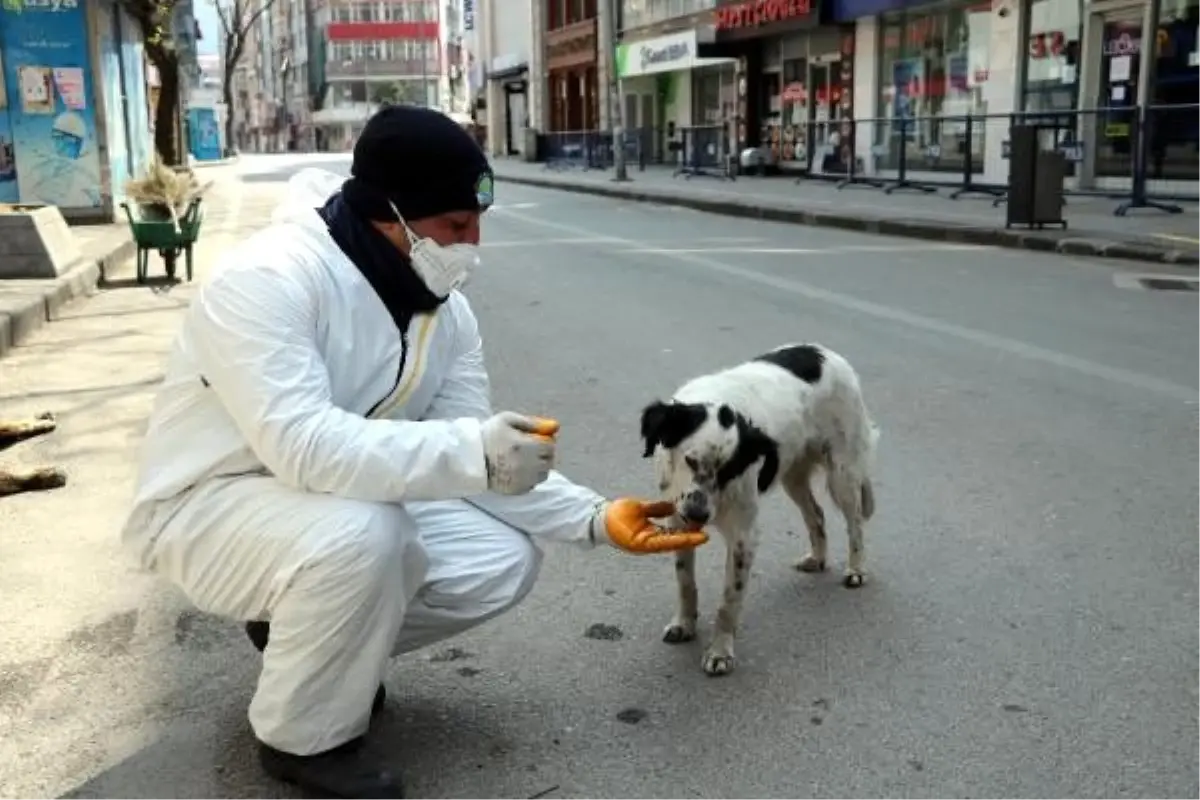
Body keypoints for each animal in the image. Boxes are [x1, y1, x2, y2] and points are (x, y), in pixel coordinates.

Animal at [638, 345, 883, 676]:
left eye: (730, 471)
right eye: (690, 460)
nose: (699, 516)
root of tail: (826, 352)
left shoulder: (744, 535)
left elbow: (729, 601)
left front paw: (720, 652)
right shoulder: (678, 518)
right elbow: (685, 583)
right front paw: (684, 624)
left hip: (842, 473)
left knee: (855, 523)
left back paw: (856, 569)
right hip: (793, 474)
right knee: (816, 515)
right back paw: (817, 559)